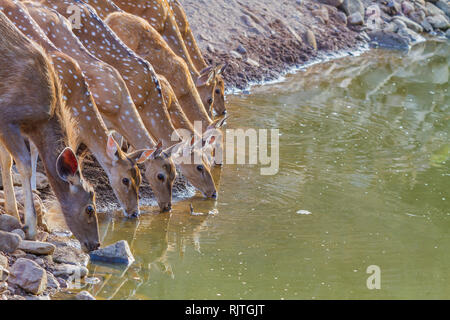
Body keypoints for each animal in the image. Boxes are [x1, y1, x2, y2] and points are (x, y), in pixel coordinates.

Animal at [0, 10, 99, 248]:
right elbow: (24, 164)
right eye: (89, 208)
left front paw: (12, 213)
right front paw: (29, 226)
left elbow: (6, 161)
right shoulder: (6, 115)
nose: (96, 243)